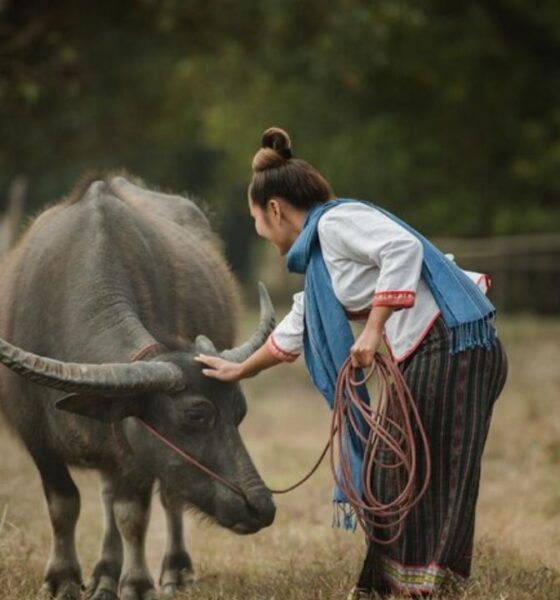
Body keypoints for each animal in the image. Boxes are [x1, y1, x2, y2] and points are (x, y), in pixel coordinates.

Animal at [0, 176, 276, 600]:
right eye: (195, 415)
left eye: (239, 413)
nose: (260, 506)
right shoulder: (37, 439)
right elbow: (64, 505)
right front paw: (63, 578)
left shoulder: (138, 450)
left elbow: (133, 515)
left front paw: (136, 583)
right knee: (107, 494)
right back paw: (103, 575)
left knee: (166, 498)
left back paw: (171, 571)